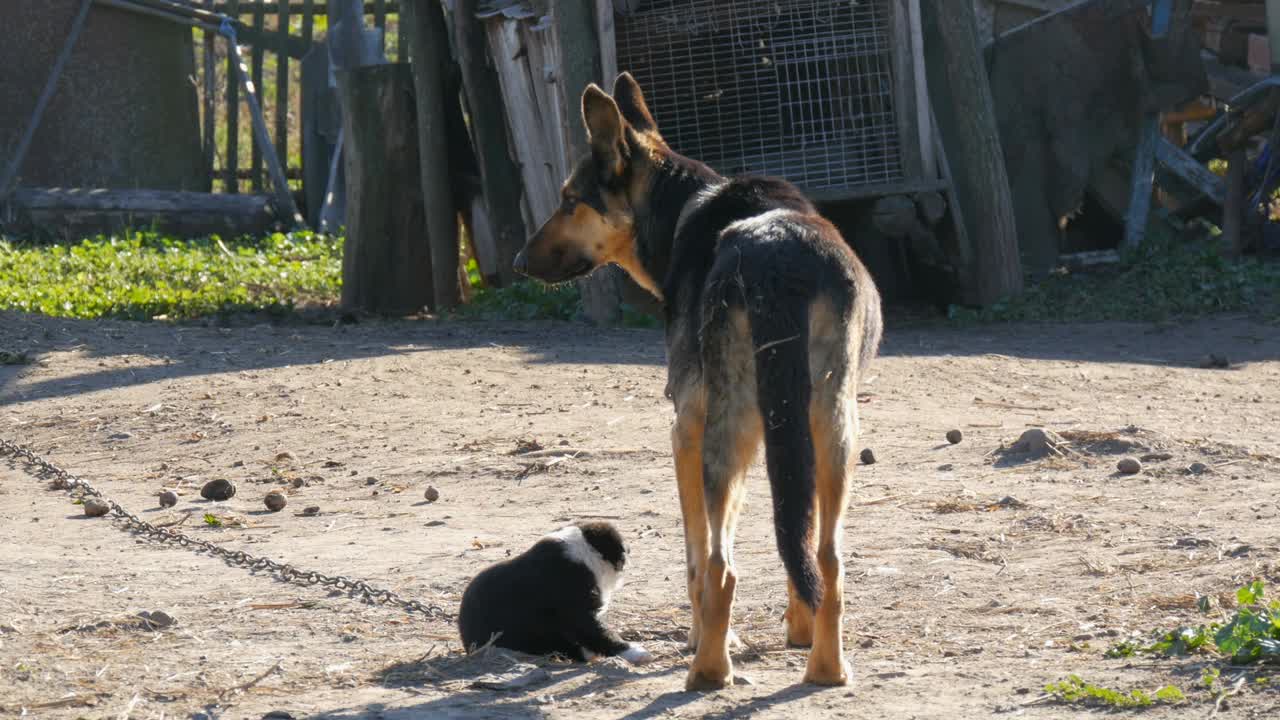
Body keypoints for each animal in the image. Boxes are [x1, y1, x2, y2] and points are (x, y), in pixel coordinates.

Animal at [509, 73, 880, 691]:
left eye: (569, 201)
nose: (517, 261)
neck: (686, 207)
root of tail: (778, 261)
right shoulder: (781, 431)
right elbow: (793, 529)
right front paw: (798, 628)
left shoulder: (684, 428)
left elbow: (695, 559)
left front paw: (703, 635)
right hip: (833, 426)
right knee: (827, 556)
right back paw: (827, 667)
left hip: (724, 436)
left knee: (720, 564)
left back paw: (707, 669)